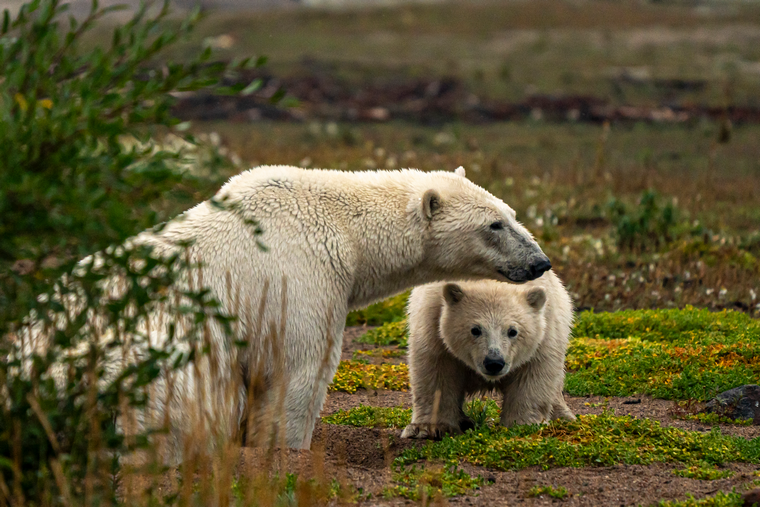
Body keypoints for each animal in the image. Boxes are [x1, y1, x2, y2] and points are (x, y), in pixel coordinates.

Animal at [19, 165, 552, 464]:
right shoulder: (299, 278)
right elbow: (298, 371)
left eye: (511, 213)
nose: (540, 262)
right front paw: (282, 450)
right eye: (494, 224)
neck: (346, 229)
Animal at [401, 270, 575, 440]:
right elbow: (437, 371)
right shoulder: (432, 317)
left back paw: (564, 417)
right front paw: (428, 428)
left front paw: (523, 425)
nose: (494, 362)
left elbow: (534, 374)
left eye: (513, 331)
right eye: (475, 330)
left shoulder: (545, 328)